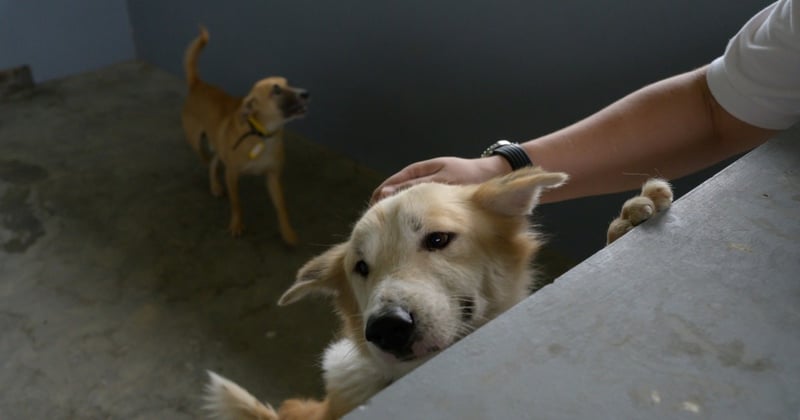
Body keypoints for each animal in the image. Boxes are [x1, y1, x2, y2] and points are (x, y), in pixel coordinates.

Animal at [181, 27, 310, 243]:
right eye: (276, 90)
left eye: (289, 83)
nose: (306, 93)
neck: (262, 135)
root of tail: (198, 84)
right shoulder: (232, 175)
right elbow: (237, 204)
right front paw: (236, 224)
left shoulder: (273, 177)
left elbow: (281, 207)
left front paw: (287, 232)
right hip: (196, 142)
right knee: (207, 159)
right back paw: (214, 180)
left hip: (219, 144)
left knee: (214, 160)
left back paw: (215, 186)